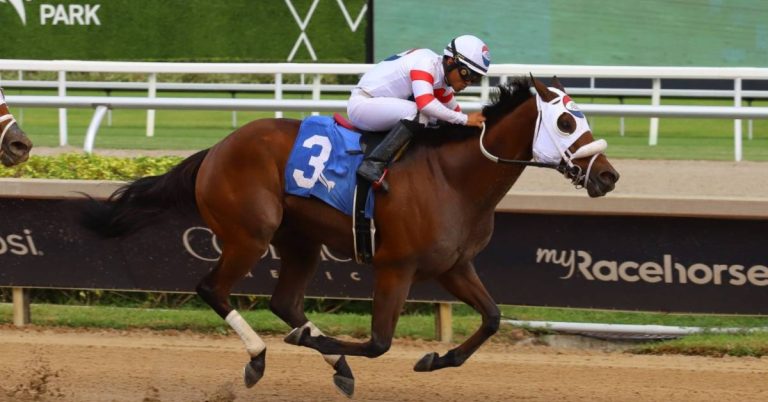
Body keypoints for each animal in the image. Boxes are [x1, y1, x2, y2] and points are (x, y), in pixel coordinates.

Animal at [82, 76, 619, 397]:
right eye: (566, 121)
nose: (609, 176)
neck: (453, 177)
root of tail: (216, 148)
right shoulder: (396, 266)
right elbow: (379, 342)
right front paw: (318, 343)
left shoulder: (453, 266)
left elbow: (491, 318)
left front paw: (435, 358)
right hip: (249, 234)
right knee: (213, 288)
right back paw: (261, 357)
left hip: (299, 242)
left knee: (284, 302)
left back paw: (330, 359)